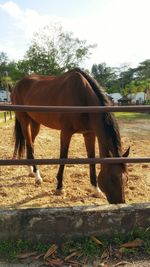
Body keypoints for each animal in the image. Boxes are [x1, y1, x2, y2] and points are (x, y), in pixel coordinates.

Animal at [11, 68, 129, 204]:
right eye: (112, 179)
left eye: (126, 179)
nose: (120, 203)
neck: (83, 98)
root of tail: (18, 84)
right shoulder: (66, 132)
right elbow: (63, 157)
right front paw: (59, 187)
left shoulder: (89, 134)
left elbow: (92, 159)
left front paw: (96, 190)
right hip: (24, 120)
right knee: (30, 144)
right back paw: (37, 177)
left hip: (35, 122)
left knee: (30, 143)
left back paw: (31, 171)